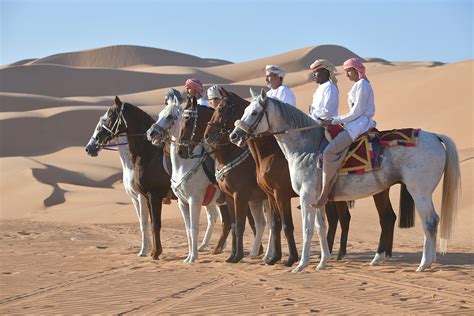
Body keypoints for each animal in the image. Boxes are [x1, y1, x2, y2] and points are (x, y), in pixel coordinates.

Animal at [147, 97, 266, 264]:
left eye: (170, 116)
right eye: (159, 114)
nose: (151, 133)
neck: (184, 164)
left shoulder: (194, 200)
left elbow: (194, 228)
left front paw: (193, 257)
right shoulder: (183, 202)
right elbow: (188, 229)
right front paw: (189, 256)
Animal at [231, 89, 462, 272]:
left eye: (254, 112)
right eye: (243, 110)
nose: (234, 135)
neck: (305, 147)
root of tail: (435, 137)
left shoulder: (304, 196)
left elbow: (306, 229)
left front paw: (300, 264)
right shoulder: (317, 198)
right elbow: (320, 227)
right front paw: (322, 262)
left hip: (419, 191)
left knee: (429, 221)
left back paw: (423, 264)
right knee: (420, 220)